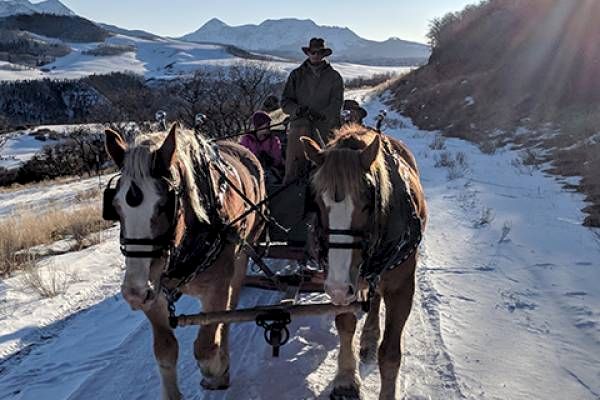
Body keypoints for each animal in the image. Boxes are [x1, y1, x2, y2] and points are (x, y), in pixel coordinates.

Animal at [105, 123, 264, 398]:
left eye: (164, 204)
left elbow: (206, 349)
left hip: (243, 254)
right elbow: (165, 351)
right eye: (115, 206)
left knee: (230, 307)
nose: (134, 294)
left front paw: (218, 369)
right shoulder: (155, 294)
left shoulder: (217, 287)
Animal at [302, 124, 424, 400]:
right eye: (317, 203)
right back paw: (368, 337)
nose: (336, 287)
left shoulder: (402, 287)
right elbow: (345, 323)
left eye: (368, 202)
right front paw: (346, 379)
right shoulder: (344, 281)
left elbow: (390, 354)